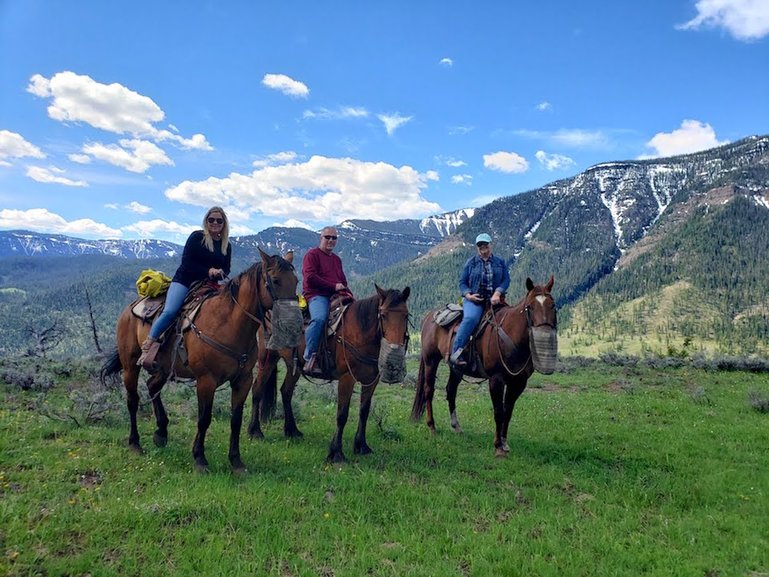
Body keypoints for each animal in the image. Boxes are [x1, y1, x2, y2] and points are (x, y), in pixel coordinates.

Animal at [103, 249, 302, 472]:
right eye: (275, 280)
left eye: (296, 280)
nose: (295, 324)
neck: (227, 324)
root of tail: (131, 306)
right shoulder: (206, 380)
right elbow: (204, 419)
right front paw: (199, 458)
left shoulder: (243, 380)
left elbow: (236, 420)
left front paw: (236, 461)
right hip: (130, 364)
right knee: (132, 400)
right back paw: (135, 443)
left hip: (164, 368)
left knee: (152, 386)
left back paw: (161, 433)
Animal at [249, 284, 412, 464]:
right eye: (383, 315)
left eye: (406, 315)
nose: (394, 352)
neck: (359, 332)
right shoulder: (347, 378)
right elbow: (342, 414)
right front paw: (336, 454)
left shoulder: (371, 380)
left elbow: (364, 411)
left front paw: (361, 446)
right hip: (267, 358)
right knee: (257, 389)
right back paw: (255, 431)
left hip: (294, 366)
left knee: (286, 392)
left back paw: (292, 431)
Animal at [412, 276, 556, 456]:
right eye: (530, 307)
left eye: (553, 305)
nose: (544, 334)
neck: (511, 336)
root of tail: (429, 317)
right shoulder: (496, 379)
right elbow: (498, 412)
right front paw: (498, 446)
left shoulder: (519, 383)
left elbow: (508, 411)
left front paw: (505, 443)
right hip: (431, 360)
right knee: (428, 390)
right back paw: (432, 427)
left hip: (456, 368)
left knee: (451, 391)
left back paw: (456, 426)